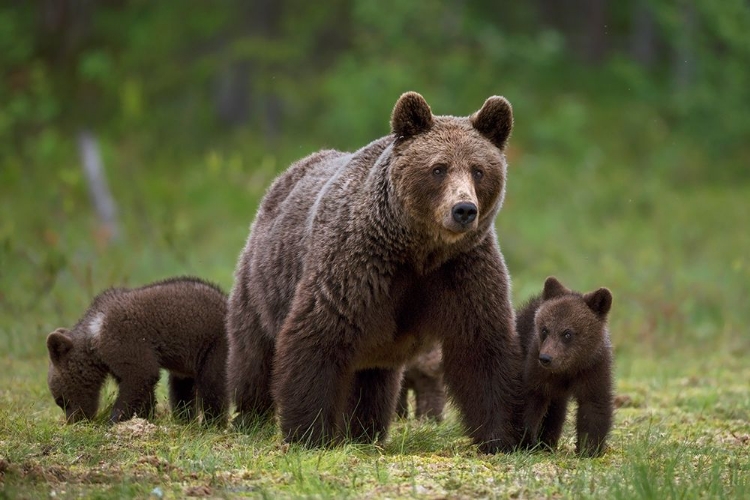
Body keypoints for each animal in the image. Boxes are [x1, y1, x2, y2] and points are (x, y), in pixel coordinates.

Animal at [228, 91, 524, 454]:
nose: (464, 210)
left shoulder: (463, 269)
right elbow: (318, 336)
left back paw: (366, 431)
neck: (418, 249)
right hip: (264, 280)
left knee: (373, 380)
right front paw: (308, 433)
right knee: (254, 353)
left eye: (478, 170)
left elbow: (483, 348)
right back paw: (251, 416)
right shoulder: (357, 264)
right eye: (438, 168)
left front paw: (502, 437)